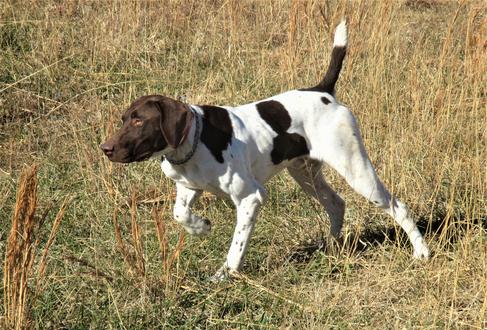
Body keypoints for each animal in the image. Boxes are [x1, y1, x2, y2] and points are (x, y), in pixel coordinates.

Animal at [101, 20, 428, 280]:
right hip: (305, 173)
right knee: (336, 204)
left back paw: (421, 252)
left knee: (397, 207)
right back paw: (332, 247)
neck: (195, 141)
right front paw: (201, 227)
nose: (105, 148)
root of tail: (323, 91)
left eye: (139, 120)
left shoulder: (251, 197)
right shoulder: (187, 187)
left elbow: (237, 245)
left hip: (356, 170)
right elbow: (179, 214)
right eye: (124, 119)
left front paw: (225, 275)